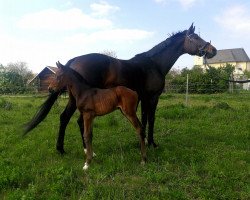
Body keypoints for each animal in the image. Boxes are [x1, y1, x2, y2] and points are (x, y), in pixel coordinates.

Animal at [24, 23, 218, 153]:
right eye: (195, 38)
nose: (213, 50)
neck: (153, 64)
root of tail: (73, 62)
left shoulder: (143, 98)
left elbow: (144, 119)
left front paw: (143, 141)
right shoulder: (152, 97)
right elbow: (151, 119)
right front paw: (152, 143)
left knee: (67, 118)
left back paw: (71, 148)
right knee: (70, 119)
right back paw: (75, 149)